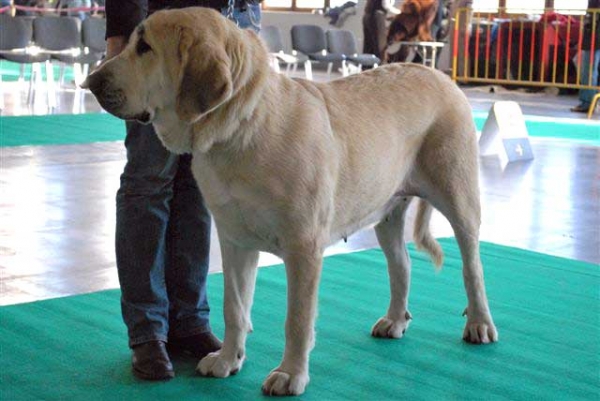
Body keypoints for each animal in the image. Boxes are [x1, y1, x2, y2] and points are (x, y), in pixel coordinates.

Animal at [82, 7, 500, 396]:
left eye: (145, 47)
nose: (91, 82)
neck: (242, 126)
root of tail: (440, 76)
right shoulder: (234, 240)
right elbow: (235, 306)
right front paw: (227, 359)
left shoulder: (304, 248)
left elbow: (297, 319)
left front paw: (289, 375)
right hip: (386, 212)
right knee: (402, 266)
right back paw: (395, 320)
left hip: (459, 196)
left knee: (473, 268)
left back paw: (479, 324)